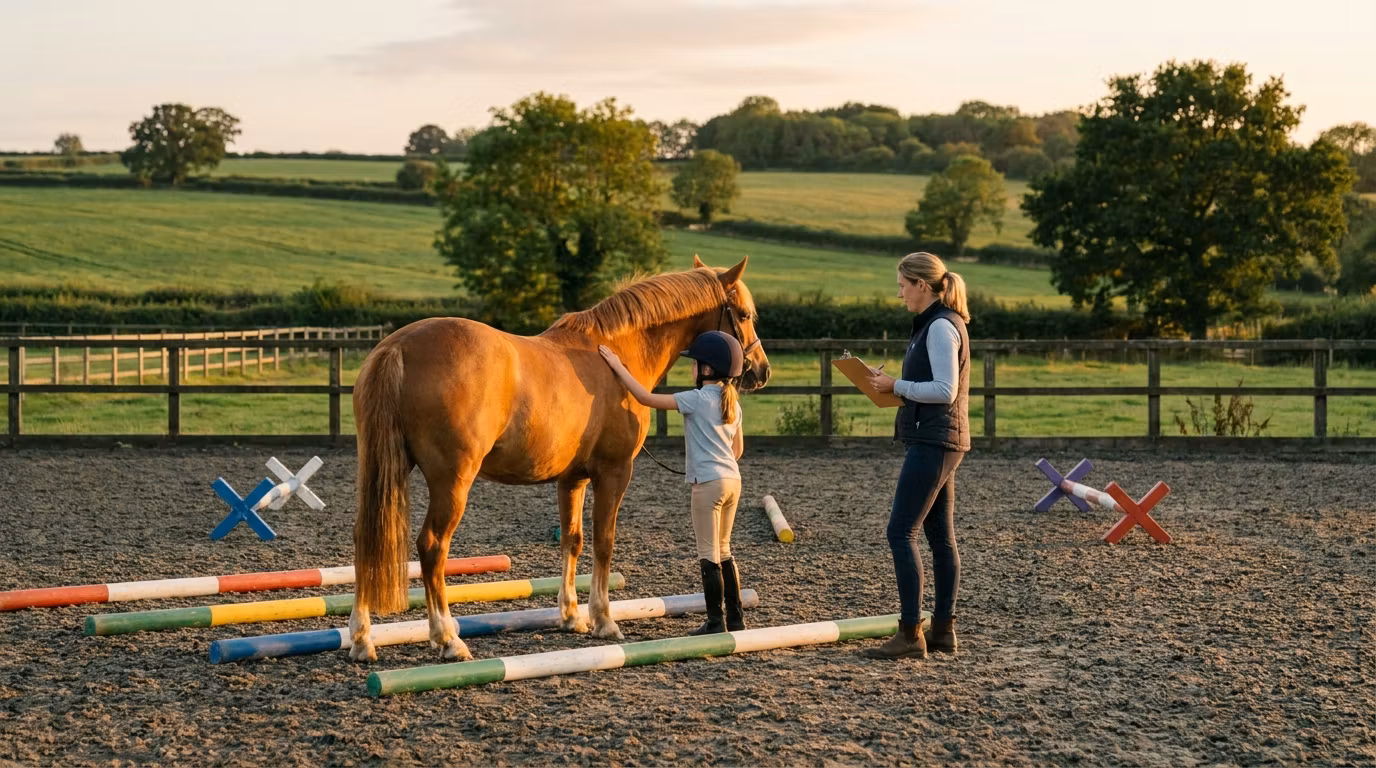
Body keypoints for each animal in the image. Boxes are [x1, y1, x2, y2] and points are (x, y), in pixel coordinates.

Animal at [347, 255, 771, 661]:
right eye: (744, 314)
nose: (760, 371)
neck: (617, 352)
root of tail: (398, 345)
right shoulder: (614, 473)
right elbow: (604, 540)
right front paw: (604, 620)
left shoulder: (573, 478)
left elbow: (574, 539)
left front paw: (571, 616)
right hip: (452, 481)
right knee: (433, 547)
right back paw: (448, 640)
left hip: (381, 470)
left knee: (365, 539)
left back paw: (362, 639)